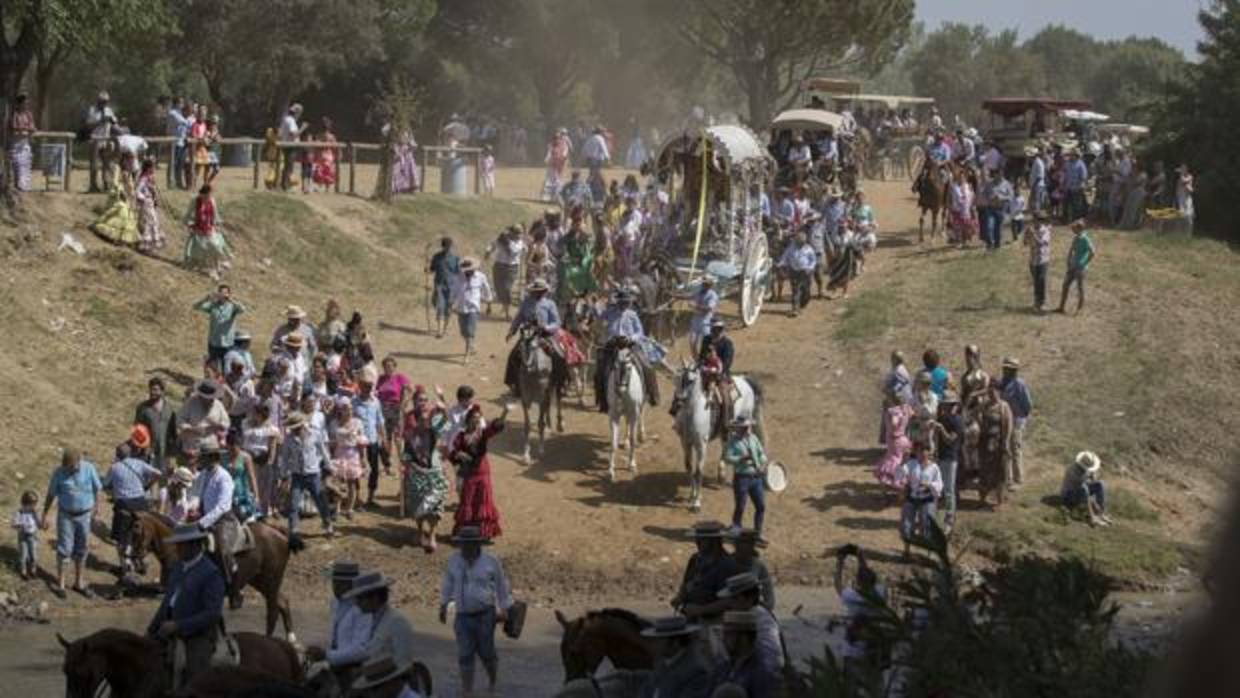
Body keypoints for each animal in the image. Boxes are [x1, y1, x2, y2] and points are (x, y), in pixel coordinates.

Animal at [131, 513, 297, 644]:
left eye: (137, 531)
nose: (136, 563)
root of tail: (279, 533)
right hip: (260, 581)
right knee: (283, 602)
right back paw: (291, 639)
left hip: (271, 580)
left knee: (273, 611)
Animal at [610, 347, 649, 483]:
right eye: (615, 367)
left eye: (629, 368)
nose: (619, 390)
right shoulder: (614, 416)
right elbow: (613, 443)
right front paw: (611, 471)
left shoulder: (634, 414)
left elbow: (633, 440)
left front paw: (631, 465)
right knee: (627, 423)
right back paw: (625, 441)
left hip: (640, 405)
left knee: (641, 414)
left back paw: (642, 435)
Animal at [669, 364, 763, 510]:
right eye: (676, 379)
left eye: (690, 380)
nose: (675, 407)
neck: (693, 413)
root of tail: (744, 379)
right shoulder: (685, 442)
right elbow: (689, 467)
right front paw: (691, 495)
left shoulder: (701, 444)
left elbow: (699, 470)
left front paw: (697, 502)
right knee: (725, 445)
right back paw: (721, 475)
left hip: (744, 422)